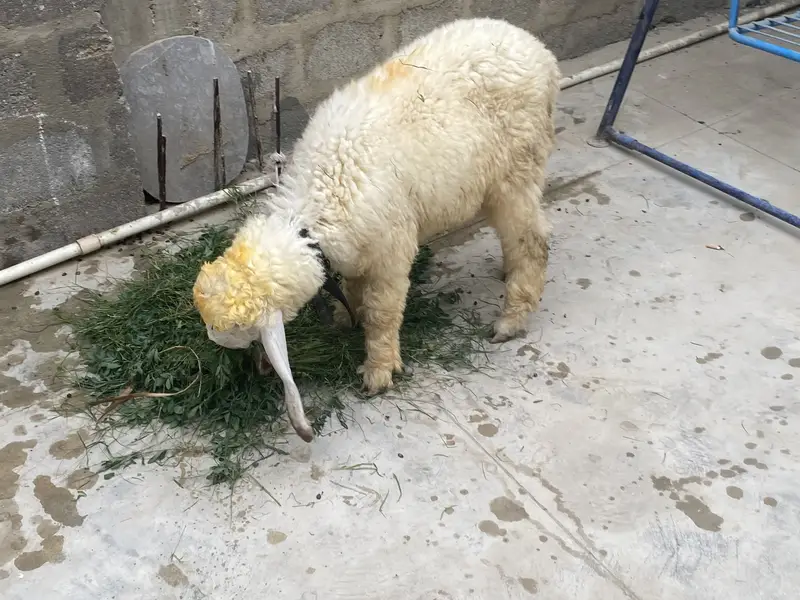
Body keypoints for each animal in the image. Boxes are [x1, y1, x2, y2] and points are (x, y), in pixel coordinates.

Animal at [192, 17, 560, 442]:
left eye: (245, 334)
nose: (253, 368)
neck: (315, 212)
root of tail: (539, 51)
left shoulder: (390, 253)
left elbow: (382, 313)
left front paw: (379, 370)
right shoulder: (356, 250)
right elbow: (353, 287)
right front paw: (342, 316)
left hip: (518, 167)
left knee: (533, 239)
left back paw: (512, 317)